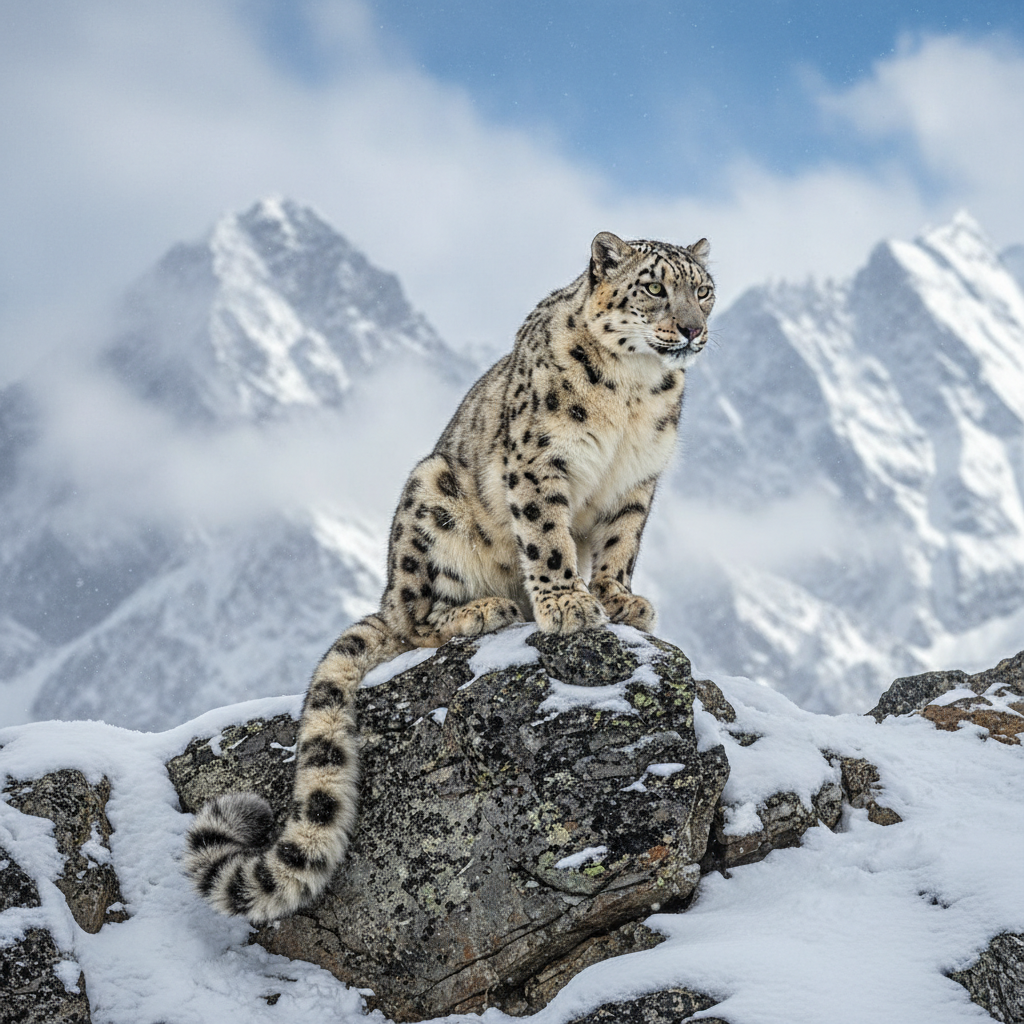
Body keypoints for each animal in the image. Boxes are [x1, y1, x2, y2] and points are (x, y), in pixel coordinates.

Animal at [185, 230, 715, 923]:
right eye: (654, 287)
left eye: (703, 290)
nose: (693, 328)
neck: (634, 393)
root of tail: (387, 589)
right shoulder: (539, 463)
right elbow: (547, 538)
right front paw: (567, 604)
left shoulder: (637, 482)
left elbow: (621, 545)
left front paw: (619, 599)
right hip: (430, 498)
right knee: (415, 623)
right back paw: (484, 610)